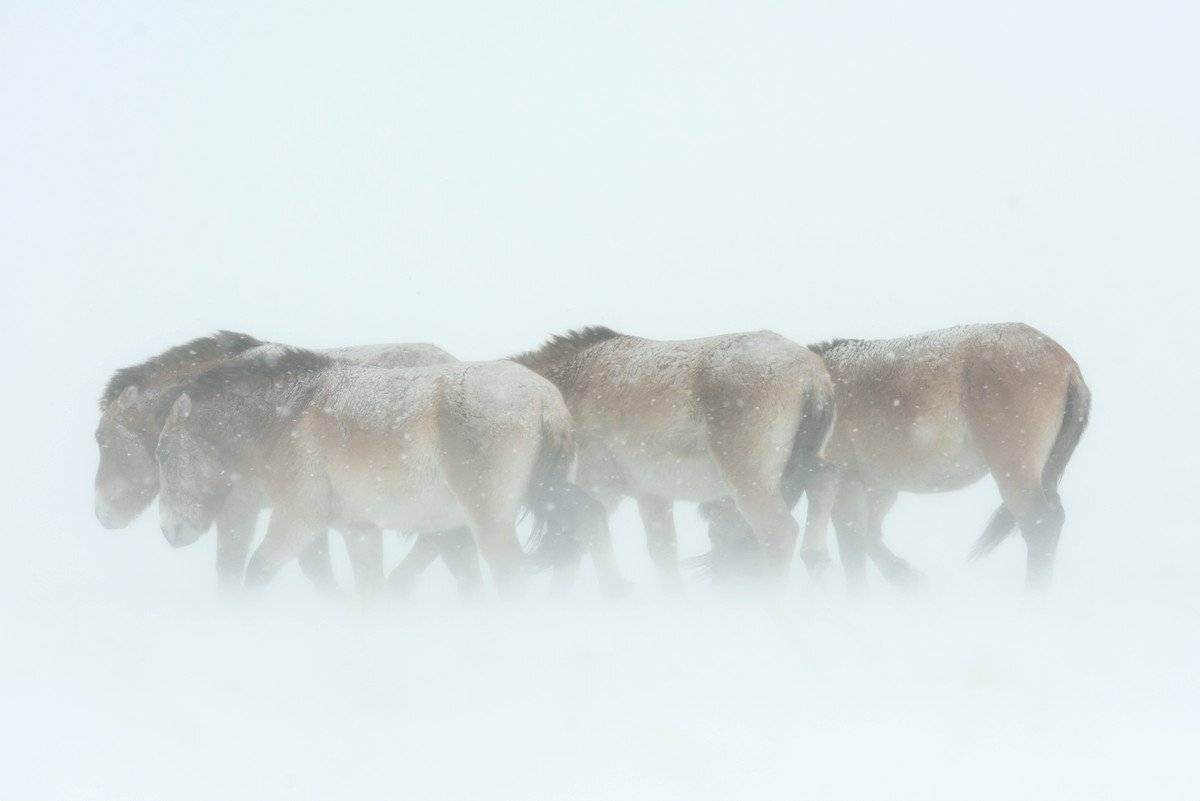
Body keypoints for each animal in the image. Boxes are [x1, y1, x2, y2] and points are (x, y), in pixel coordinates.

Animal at [154, 346, 622, 595]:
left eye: (161, 454)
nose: (170, 531)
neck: (286, 414)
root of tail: (543, 397)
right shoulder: (359, 530)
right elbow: (370, 588)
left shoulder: (298, 520)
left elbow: (257, 571)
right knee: (589, 523)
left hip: (490, 519)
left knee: (511, 571)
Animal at [510, 327, 836, 586]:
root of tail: (811, 374)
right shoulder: (651, 494)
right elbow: (663, 553)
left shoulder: (597, 487)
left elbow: (576, 545)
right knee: (819, 507)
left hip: (751, 486)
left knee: (778, 535)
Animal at [708, 323, 1090, 591]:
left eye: (717, 535)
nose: (726, 587)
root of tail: (1066, 363)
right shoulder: (879, 487)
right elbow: (870, 537)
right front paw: (905, 578)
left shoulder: (845, 481)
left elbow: (854, 544)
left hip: (1014, 470)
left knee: (1041, 523)